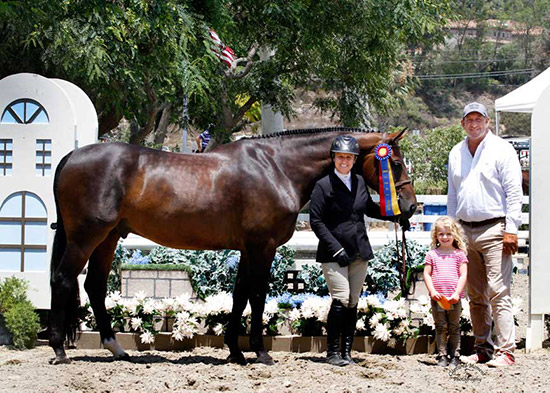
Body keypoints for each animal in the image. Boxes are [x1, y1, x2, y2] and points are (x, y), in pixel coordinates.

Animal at [48, 127, 418, 362]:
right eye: (395, 163)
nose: (412, 207)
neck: (276, 167)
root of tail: (71, 156)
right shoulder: (262, 247)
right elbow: (257, 295)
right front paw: (260, 351)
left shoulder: (246, 248)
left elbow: (239, 296)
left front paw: (235, 350)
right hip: (86, 236)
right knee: (63, 279)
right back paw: (59, 349)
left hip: (108, 237)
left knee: (94, 285)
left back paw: (116, 348)